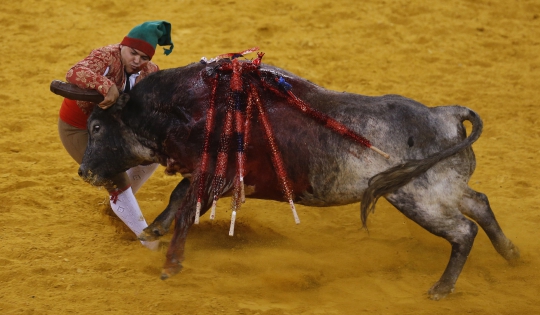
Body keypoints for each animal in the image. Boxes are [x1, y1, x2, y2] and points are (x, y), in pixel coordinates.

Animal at [66, 58, 520, 302]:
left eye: (97, 128)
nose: (84, 172)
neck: (190, 106)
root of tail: (445, 114)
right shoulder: (214, 178)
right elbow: (180, 198)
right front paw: (153, 231)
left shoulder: (214, 176)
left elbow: (184, 204)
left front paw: (169, 262)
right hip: (443, 188)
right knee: (479, 202)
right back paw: (511, 253)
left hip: (417, 197)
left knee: (462, 231)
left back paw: (442, 288)